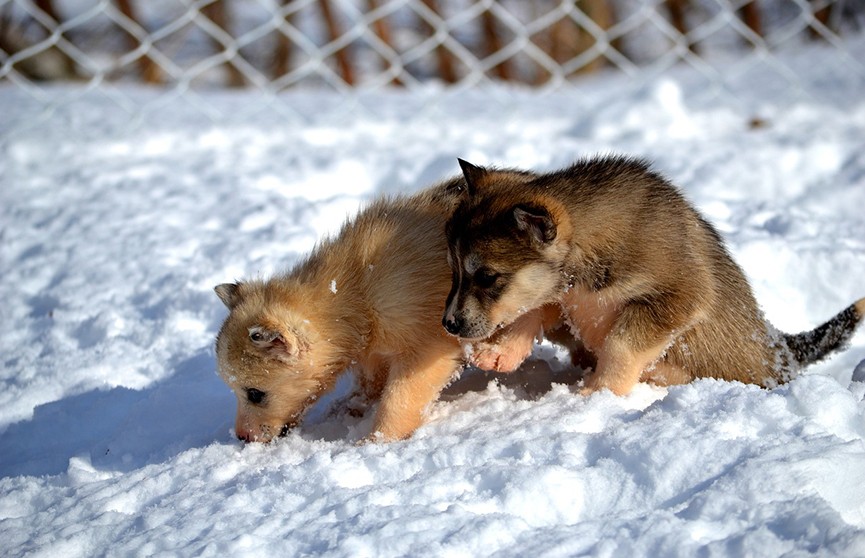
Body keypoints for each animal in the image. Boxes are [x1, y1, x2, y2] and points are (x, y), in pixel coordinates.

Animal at [215, 178, 564, 442]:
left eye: (254, 393)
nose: (242, 438)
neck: (356, 290)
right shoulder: (372, 350)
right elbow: (370, 384)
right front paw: (351, 407)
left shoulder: (427, 348)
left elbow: (399, 399)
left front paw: (374, 442)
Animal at [442, 155, 860, 396]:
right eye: (454, 268)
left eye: (488, 277)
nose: (448, 325)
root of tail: (781, 347)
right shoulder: (561, 295)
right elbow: (529, 311)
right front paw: (498, 353)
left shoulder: (679, 296)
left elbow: (621, 344)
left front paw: (597, 392)